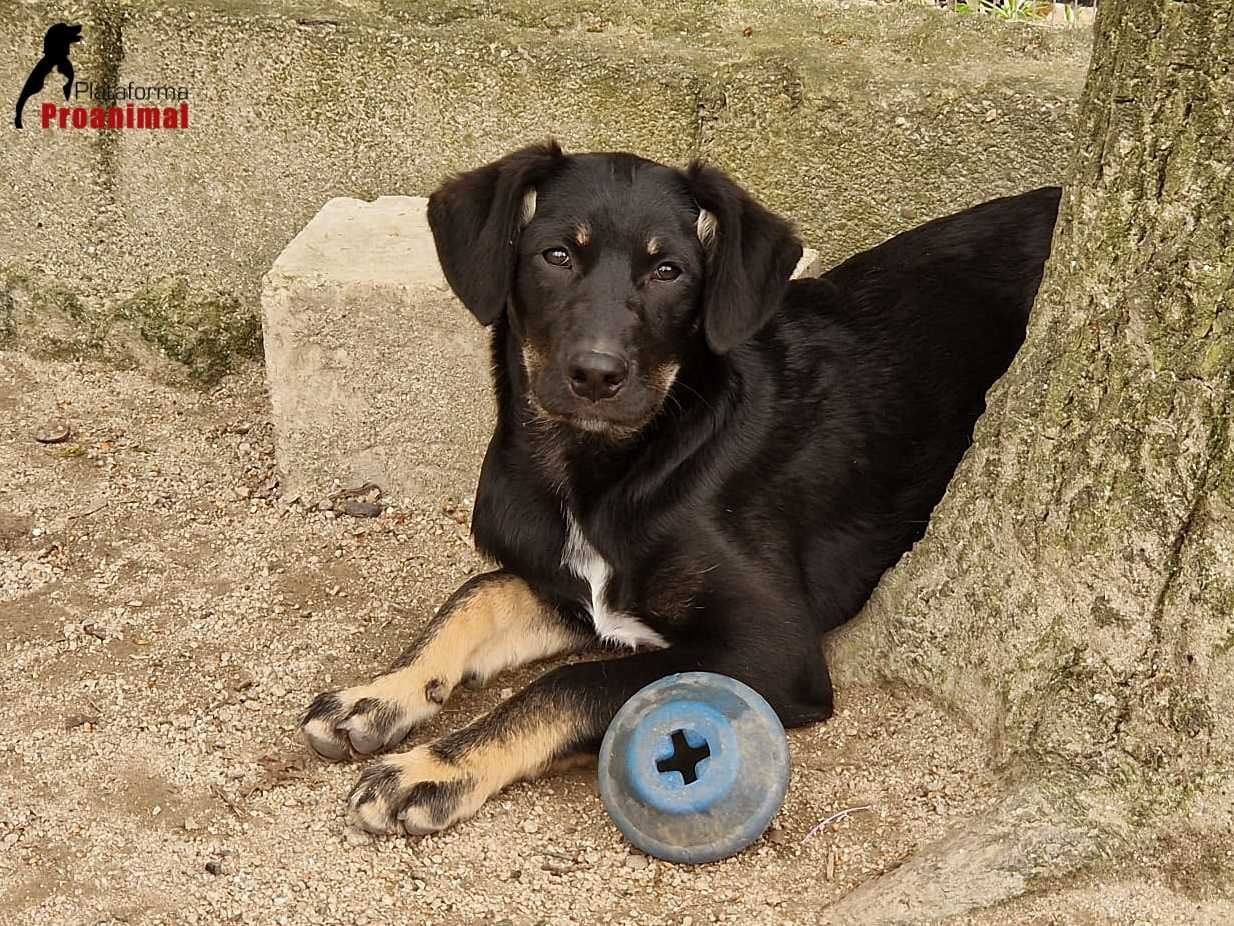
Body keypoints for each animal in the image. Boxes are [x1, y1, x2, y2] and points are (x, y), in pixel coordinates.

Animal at [301, 139, 1061, 839]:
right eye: (556, 255)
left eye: (669, 271)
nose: (597, 374)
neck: (609, 470)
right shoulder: (583, 593)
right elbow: (473, 596)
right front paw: (378, 695)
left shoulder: (774, 650)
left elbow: (568, 682)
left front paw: (434, 767)